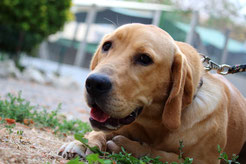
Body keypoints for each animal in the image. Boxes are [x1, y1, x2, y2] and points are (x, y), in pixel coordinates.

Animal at [58, 23, 246, 163]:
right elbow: (98, 132)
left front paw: (128, 147)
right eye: (107, 45)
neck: (155, 125)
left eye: (144, 59)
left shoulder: (203, 161)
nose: (94, 83)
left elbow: (163, 155)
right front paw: (82, 143)